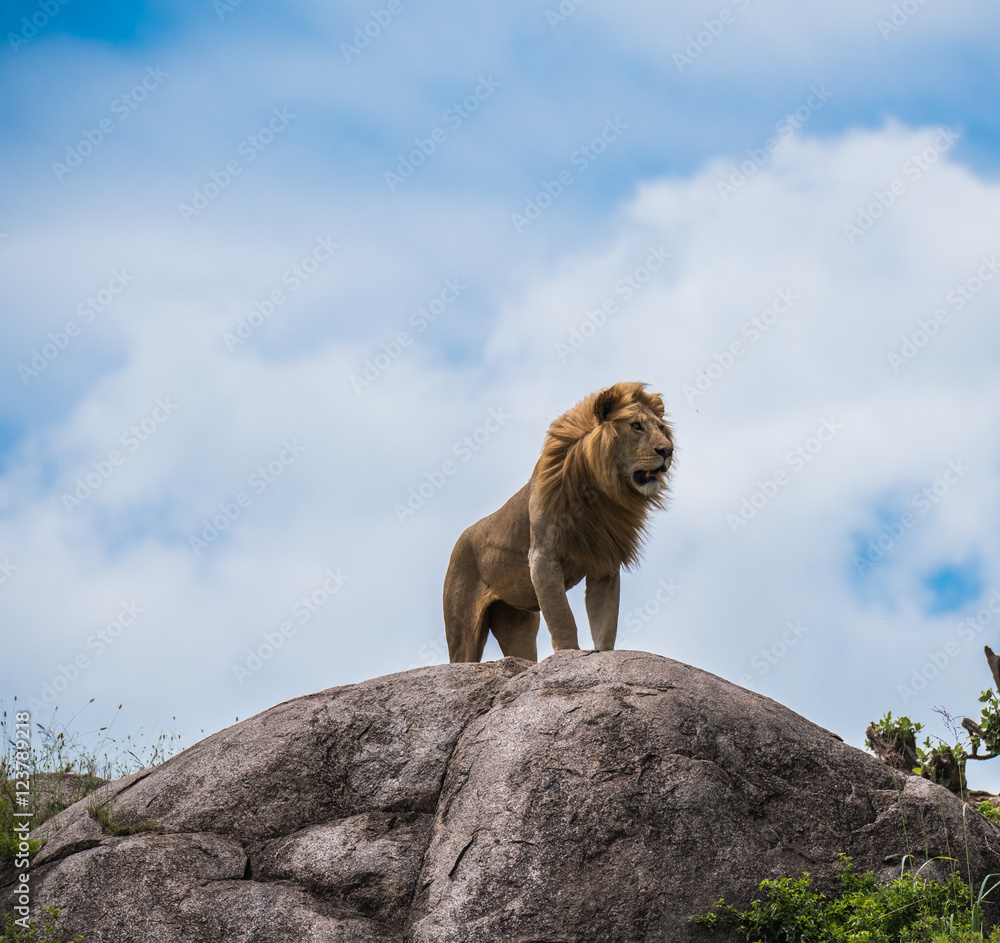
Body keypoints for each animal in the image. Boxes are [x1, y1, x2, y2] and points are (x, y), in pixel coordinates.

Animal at [444, 380, 672, 660]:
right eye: (636, 426)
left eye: (661, 428)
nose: (668, 451)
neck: (600, 496)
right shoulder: (543, 556)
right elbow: (562, 616)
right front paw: (568, 654)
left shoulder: (604, 563)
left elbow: (606, 620)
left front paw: (603, 655)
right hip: (463, 628)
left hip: (517, 621)